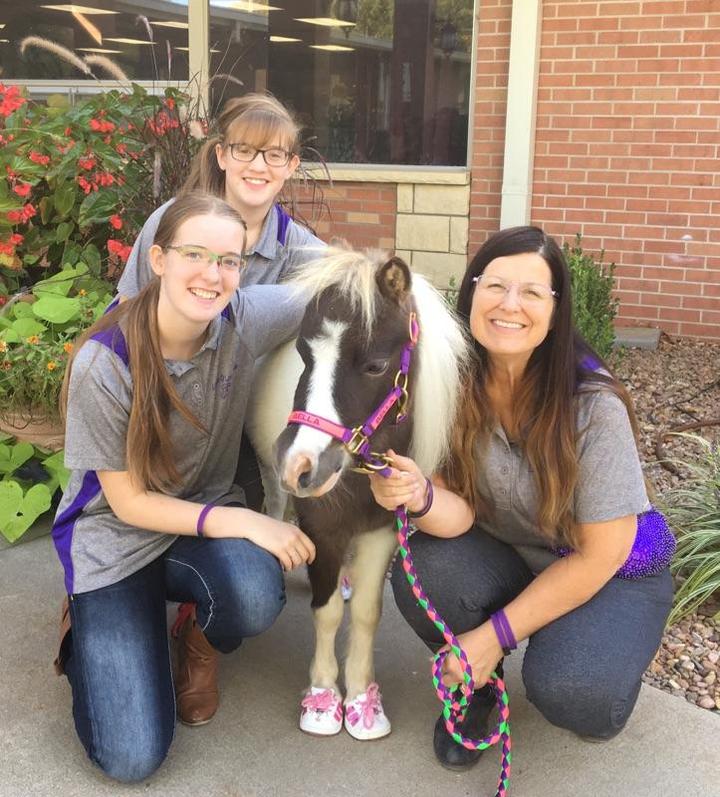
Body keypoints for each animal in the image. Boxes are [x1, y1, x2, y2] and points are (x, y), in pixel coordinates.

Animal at [248, 247, 470, 740]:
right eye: (303, 353)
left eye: (374, 366)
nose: (300, 464)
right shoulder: (322, 527)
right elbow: (327, 611)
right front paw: (324, 695)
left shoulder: (381, 531)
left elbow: (368, 612)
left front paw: (362, 698)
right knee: (275, 506)